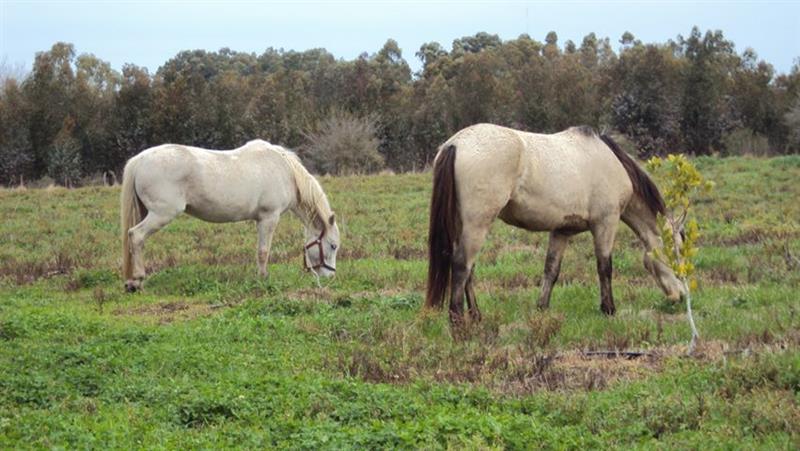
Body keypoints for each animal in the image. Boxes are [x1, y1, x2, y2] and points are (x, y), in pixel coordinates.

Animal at [120, 139, 340, 292]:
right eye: (333, 246)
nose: (330, 277)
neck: (285, 171)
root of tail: (141, 159)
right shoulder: (268, 218)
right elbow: (263, 251)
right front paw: (262, 278)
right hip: (161, 214)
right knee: (136, 236)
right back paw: (137, 280)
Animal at [428, 123, 684, 328]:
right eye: (677, 254)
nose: (681, 297)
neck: (609, 161)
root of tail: (455, 143)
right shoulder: (606, 223)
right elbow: (605, 267)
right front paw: (609, 309)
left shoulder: (562, 231)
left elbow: (551, 270)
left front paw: (542, 308)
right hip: (477, 225)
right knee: (461, 266)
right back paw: (458, 321)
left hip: (463, 226)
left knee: (468, 270)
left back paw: (477, 316)